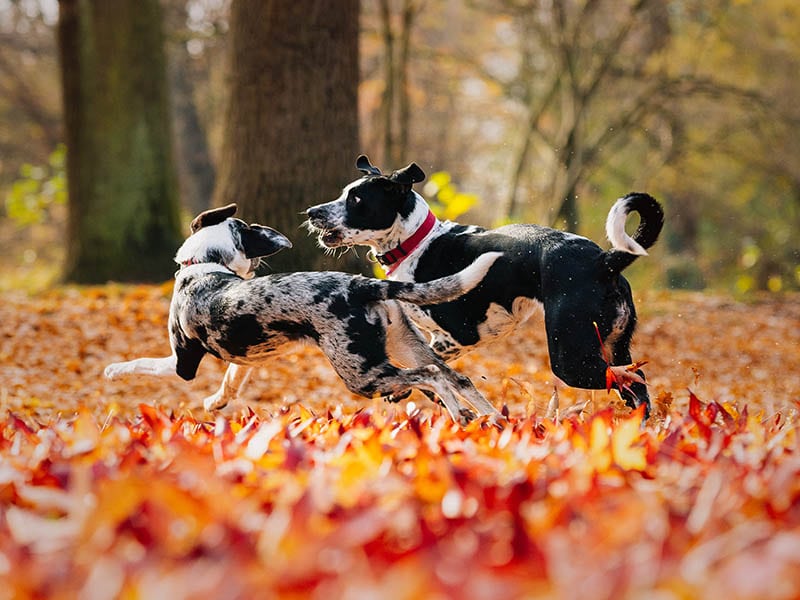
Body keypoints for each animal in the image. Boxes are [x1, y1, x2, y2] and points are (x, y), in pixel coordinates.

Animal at [104, 204, 506, 424]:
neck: (206, 265)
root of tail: (362, 283)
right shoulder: (246, 360)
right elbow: (230, 383)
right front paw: (214, 403)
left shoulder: (182, 362)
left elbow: (141, 363)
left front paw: (113, 370)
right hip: (407, 345)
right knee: (454, 377)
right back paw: (488, 419)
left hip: (361, 373)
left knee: (430, 378)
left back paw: (459, 414)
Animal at [304, 156, 664, 412]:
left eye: (356, 199)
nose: (311, 212)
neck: (417, 242)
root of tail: (603, 260)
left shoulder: (457, 336)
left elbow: (435, 370)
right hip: (613, 344)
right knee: (637, 383)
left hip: (570, 358)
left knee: (626, 378)